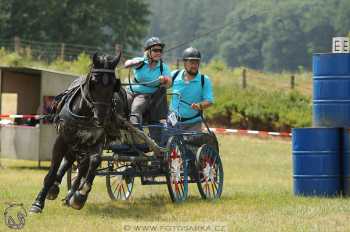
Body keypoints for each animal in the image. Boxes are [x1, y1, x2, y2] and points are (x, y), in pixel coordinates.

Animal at [29, 53, 121, 214]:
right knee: (68, 162)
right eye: (94, 82)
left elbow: (94, 162)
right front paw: (38, 203)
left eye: (113, 84)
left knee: (82, 166)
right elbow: (52, 171)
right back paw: (55, 188)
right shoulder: (61, 140)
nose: (102, 117)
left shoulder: (97, 142)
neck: (85, 113)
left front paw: (80, 196)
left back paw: (71, 195)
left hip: (82, 145)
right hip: (73, 143)